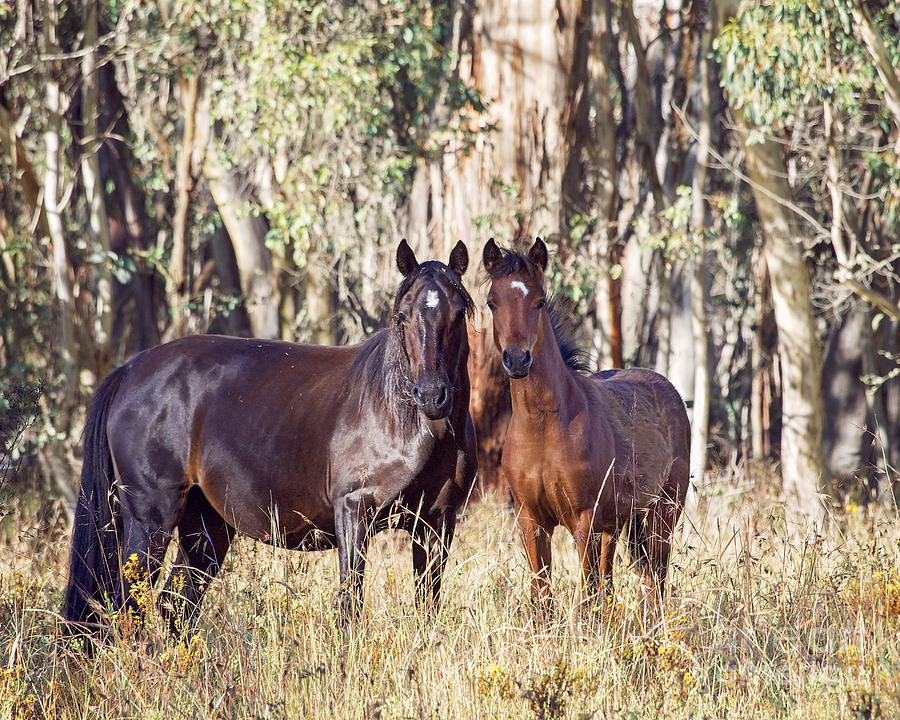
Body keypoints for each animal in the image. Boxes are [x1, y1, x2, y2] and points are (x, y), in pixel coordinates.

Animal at [63, 240, 478, 632]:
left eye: (458, 313)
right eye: (402, 316)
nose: (432, 396)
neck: (399, 418)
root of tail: (129, 371)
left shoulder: (436, 523)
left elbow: (427, 606)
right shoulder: (353, 514)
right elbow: (350, 606)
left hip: (206, 526)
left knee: (175, 606)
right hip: (150, 518)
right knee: (129, 607)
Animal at [486, 239, 688, 612]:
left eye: (539, 301)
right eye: (493, 302)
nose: (517, 360)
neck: (543, 429)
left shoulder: (584, 519)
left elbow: (587, 597)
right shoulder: (531, 521)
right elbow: (543, 597)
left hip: (661, 514)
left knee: (655, 583)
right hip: (616, 524)